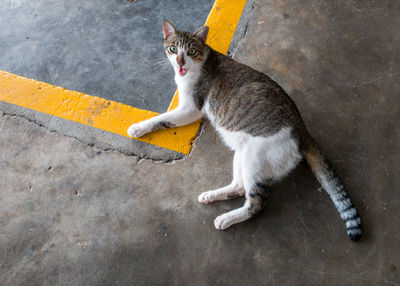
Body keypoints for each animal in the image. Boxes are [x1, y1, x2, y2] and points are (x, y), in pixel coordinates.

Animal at [127, 19, 362, 241]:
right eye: (173, 48)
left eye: (191, 51)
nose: (180, 62)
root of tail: (301, 127)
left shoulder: (190, 108)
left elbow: (161, 118)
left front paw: (138, 127)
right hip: (241, 153)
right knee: (239, 187)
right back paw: (211, 196)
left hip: (255, 158)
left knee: (256, 204)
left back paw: (226, 219)